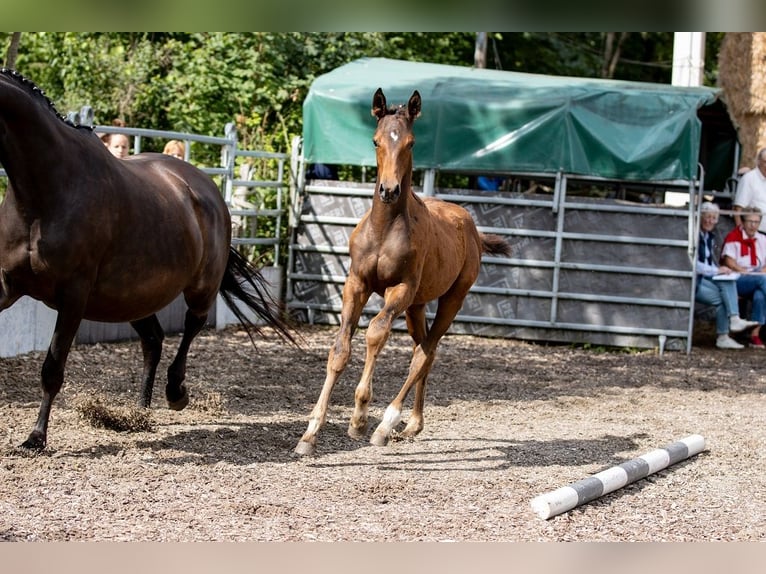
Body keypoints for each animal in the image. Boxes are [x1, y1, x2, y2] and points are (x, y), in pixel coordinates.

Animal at [0, 68, 296, 450]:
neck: (45, 193)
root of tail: (206, 187)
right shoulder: (7, 284)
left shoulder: (73, 297)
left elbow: (52, 368)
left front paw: (36, 438)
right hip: (130, 297)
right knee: (153, 339)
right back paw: (139, 410)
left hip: (198, 288)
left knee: (191, 325)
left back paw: (175, 392)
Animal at [296, 89, 512, 460]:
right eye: (376, 141)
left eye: (410, 143)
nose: (389, 190)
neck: (385, 228)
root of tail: (471, 228)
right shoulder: (356, 284)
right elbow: (340, 350)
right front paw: (310, 433)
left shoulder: (400, 290)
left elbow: (375, 333)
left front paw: (359, 419)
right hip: (417, 306)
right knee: (424, 349)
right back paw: (412, 424)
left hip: (451, 298)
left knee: (424, 353)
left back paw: (385, 426)